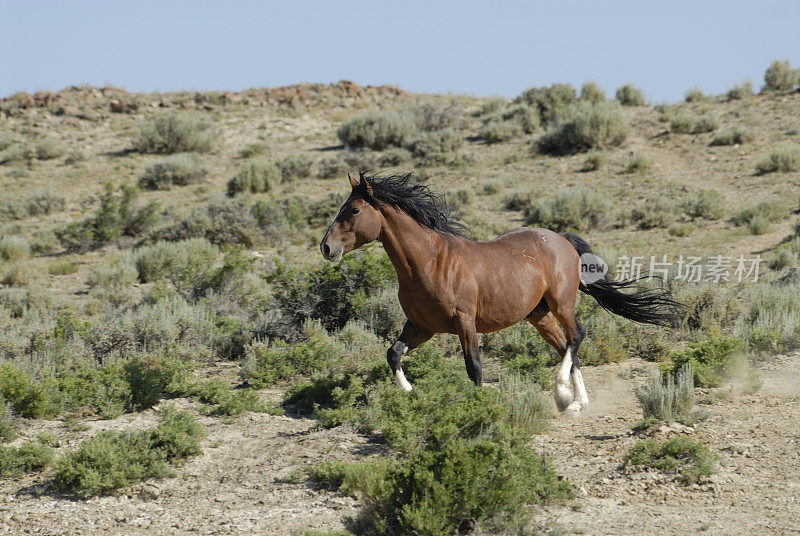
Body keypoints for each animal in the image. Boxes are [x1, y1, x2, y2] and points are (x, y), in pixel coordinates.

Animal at [320, 172, 680, 414]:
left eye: (353, 210)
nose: (326, 247)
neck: (430, 263)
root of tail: (560, 238)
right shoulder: (422, 326)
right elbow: (393, 354)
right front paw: (410, 393)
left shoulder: (464, 322)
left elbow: (474, 367)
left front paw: (479, 408)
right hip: (540, 316)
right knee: (567, 345)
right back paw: (577, 402)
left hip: (562, 304)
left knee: (577, 336)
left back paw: (565, 395)